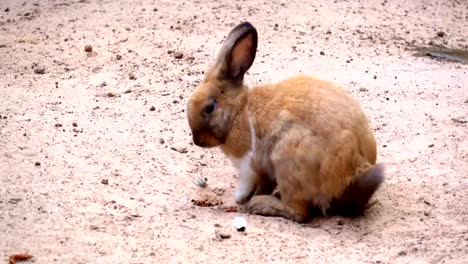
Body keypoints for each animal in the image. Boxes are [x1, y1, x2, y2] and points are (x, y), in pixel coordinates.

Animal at [186, 21, 384, 223]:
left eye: (209, 108)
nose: (197, 140)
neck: (238, 111)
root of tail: (350, 175)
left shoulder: (249, 163)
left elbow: (248, 183)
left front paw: (240, 199)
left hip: (286, 160)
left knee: (298, 212)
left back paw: (259, 204)